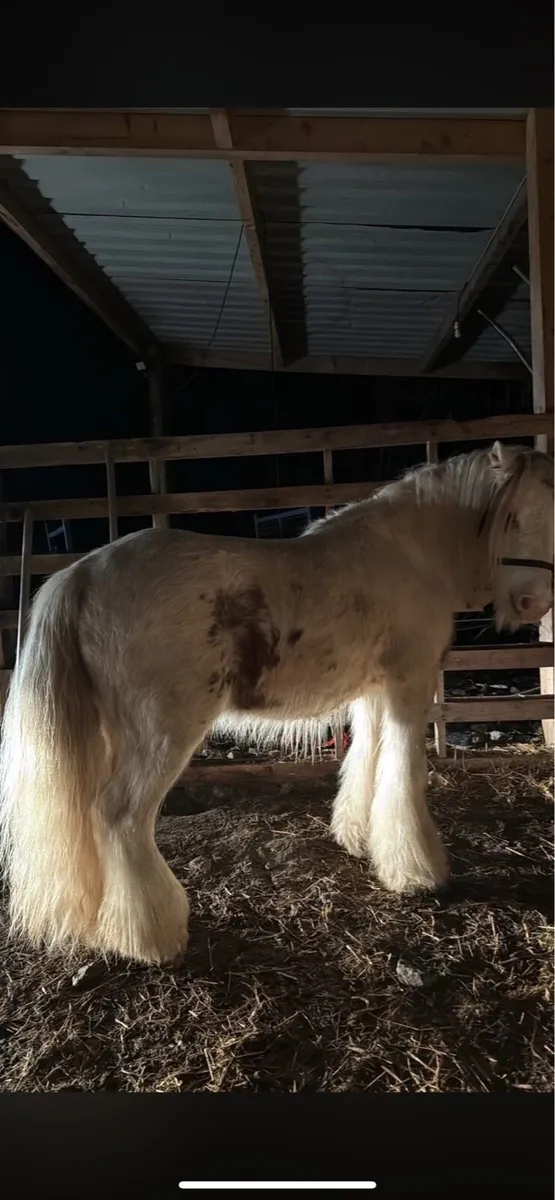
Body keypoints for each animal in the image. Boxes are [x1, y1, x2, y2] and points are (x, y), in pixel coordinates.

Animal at [0, 440, 552, 966]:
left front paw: (359, 839)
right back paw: (151, 938)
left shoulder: (375, 692)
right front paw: (417, 872)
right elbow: (404, 776)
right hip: (163, 734)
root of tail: (83, 574)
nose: (535, 605)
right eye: (516, 515)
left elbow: (367, 762)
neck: (412, 552)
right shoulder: (409, 685)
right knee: (119, 817)